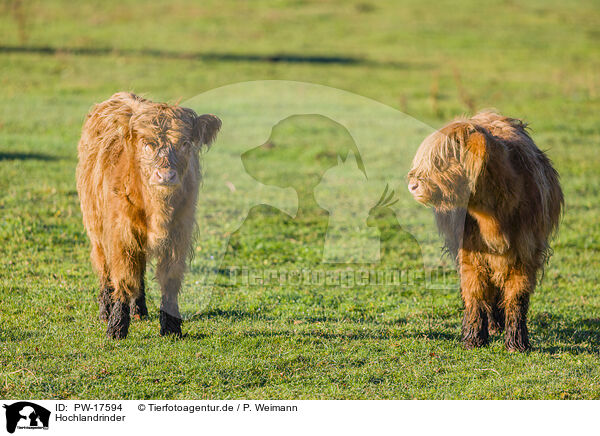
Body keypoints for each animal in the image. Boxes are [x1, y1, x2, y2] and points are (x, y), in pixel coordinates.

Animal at [76, 91, 221, 338]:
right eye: (147, 143)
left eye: (184, 143)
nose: (166, 175)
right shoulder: (121, 233)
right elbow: (124, 276)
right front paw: (116, 326)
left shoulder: (179, 233)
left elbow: (169, 278)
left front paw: (171, 326)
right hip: (96, 226)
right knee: (105, 267)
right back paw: (106, 309)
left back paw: (139, 310)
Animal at [408, 111, 564, 350]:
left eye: (442, 160)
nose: (413, 185)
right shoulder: (469, 254)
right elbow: (475, 293)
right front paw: (473, 339)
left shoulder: (526, 252)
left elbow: (517, 296)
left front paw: (517, 343)